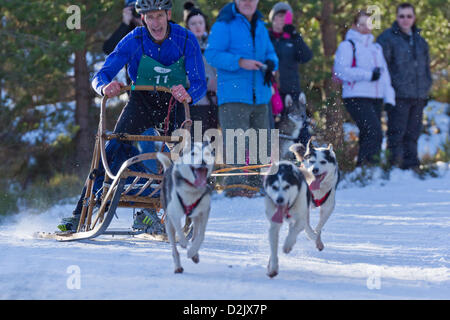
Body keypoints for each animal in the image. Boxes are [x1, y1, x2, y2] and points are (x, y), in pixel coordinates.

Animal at [157, 143, 215, 276]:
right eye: (193, 153)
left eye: (207, 153)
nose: (203, 161)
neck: (192, 189)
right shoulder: (174, 214)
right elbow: (179, 230)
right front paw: (183, 243)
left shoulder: (204, 212)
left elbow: (200, 236)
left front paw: (192, 251)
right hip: (168, 223)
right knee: (174, 248)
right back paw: (178, 266)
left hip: (196, 217)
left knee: (195, 233)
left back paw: (195, 254)